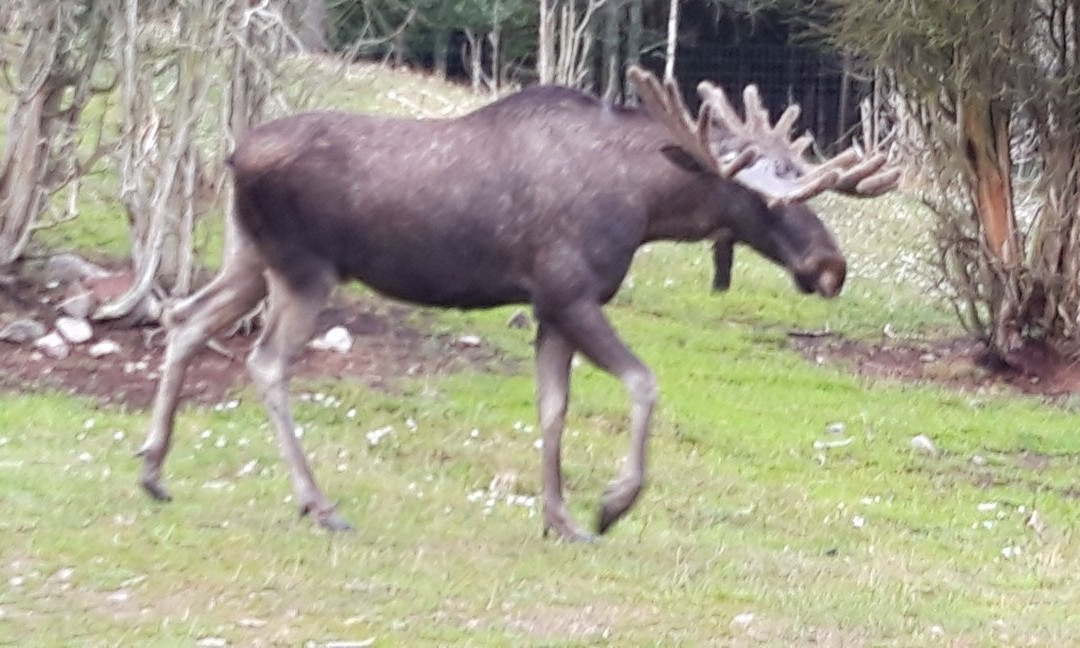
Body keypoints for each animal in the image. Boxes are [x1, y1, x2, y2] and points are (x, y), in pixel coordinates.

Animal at [135, 66, 894, 542]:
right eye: (769, 195)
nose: (830, 266)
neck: (649, 206)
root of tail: (233, 155)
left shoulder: (550, 309)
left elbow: (553, 408)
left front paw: (559, 519)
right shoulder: (570, 292)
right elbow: (643, 383)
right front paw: (612, 505)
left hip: (249, 259)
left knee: (183, 319)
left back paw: (153, 470)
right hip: (303, 269)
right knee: (265, 364)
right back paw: (317, 505)